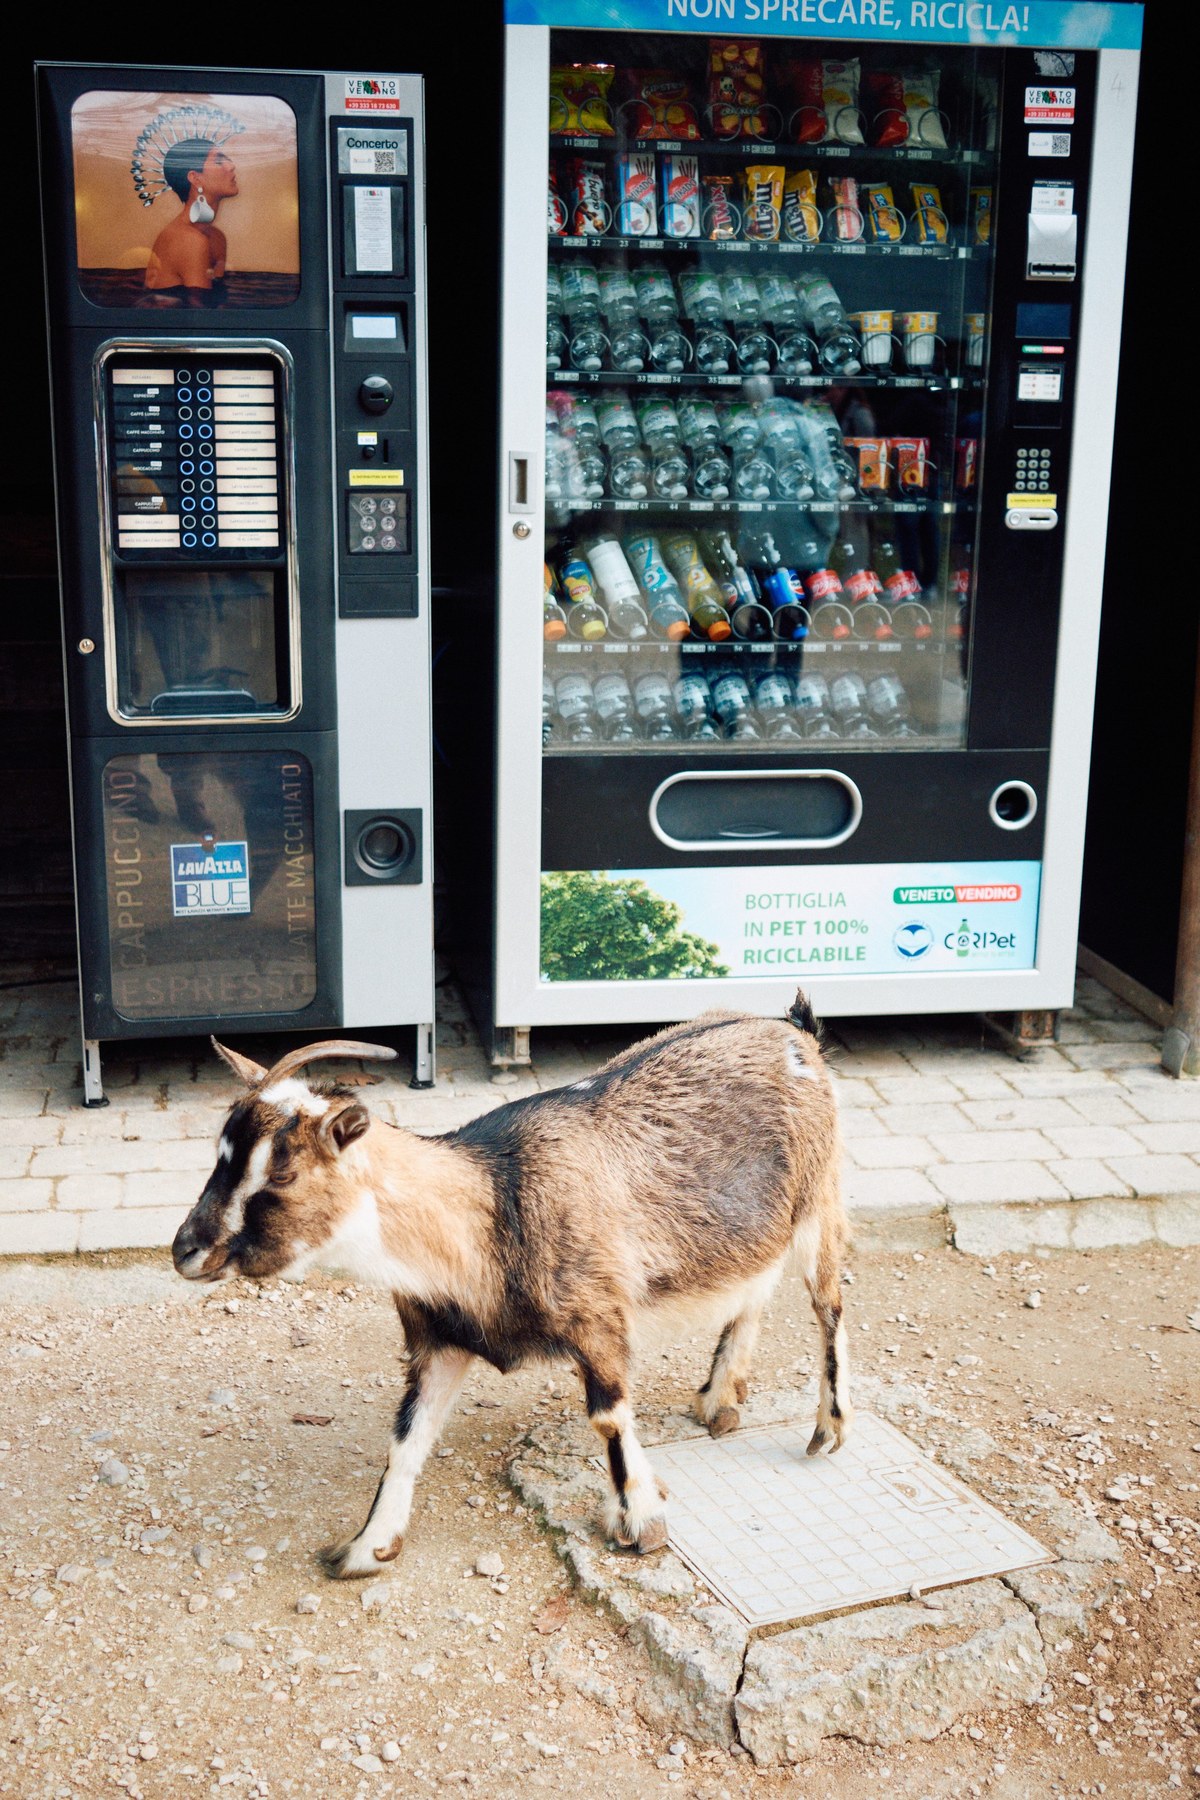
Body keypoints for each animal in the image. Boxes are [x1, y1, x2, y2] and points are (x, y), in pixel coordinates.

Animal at [171, 993, 851, 1577]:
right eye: (218, 1153)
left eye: (283, 1171)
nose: (185, 1251)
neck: (490, 1207)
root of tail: (792, 1029)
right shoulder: (438, 1341)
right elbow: (405, 1439)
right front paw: (368, 1547)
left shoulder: (599, 1318)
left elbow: (608, 1418)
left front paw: (640, 1520)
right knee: (755, 1286)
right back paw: (720, 1398)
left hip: (819, 1197)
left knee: (828, 1303)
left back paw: (827, 1429)